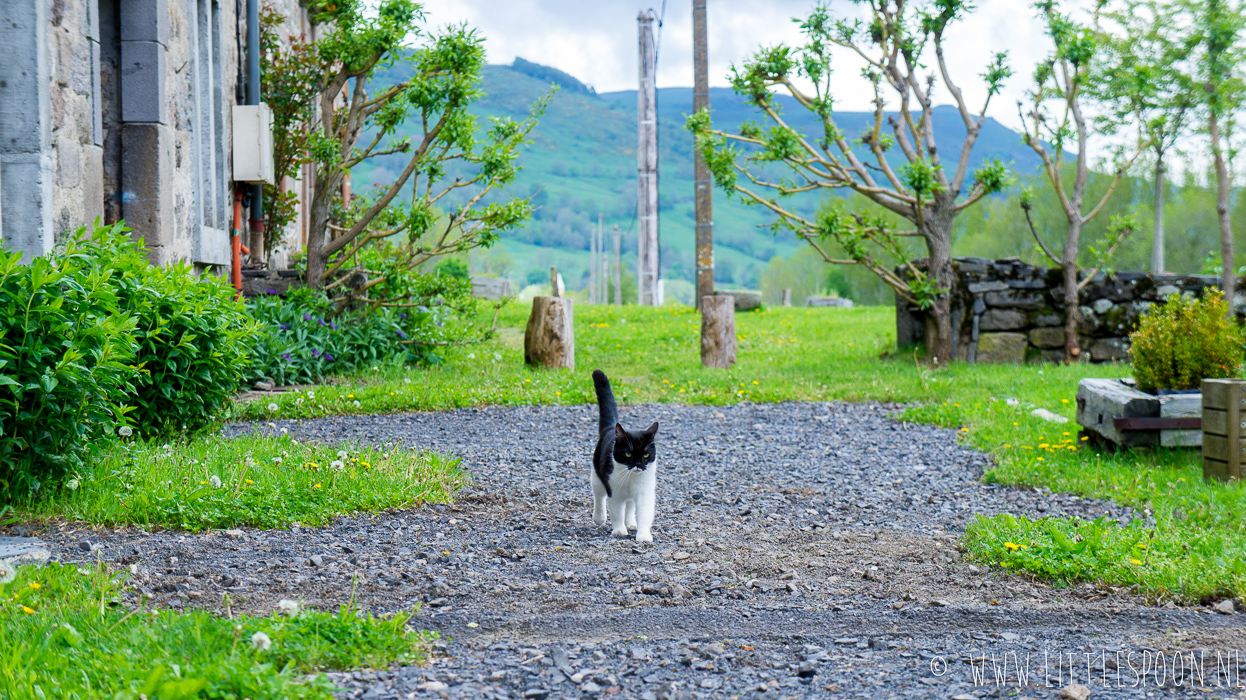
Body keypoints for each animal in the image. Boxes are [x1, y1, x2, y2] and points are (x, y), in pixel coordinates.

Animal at [588, 368, 657, 543]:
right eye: (628, 453)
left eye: (646, 455)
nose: (638, 464)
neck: (630, 478)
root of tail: (612, 427)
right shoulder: (615, 491)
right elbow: (616, 512)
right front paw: (619, 531)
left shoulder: (645, 491)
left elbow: (644, 513)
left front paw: (643, 535)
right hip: (597, 475)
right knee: (599, 496)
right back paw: (599, 517)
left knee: (630, 506)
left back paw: (631, 523)